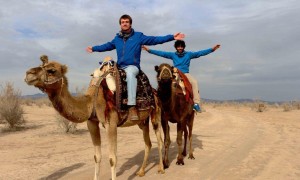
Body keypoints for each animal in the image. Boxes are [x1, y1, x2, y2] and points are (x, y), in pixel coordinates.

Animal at [24, 55, 164, 179]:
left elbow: (112, 159)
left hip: (156, 113)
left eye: (51, 70)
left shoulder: (111, 124)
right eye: (42, 66)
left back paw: (161, 169)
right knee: (148, 143)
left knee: (159, 140)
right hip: (142, 121)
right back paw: (141, 171)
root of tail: (154, 91)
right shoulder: (91, 123)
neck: (92, 101)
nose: (28, 74)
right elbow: (97, 157)